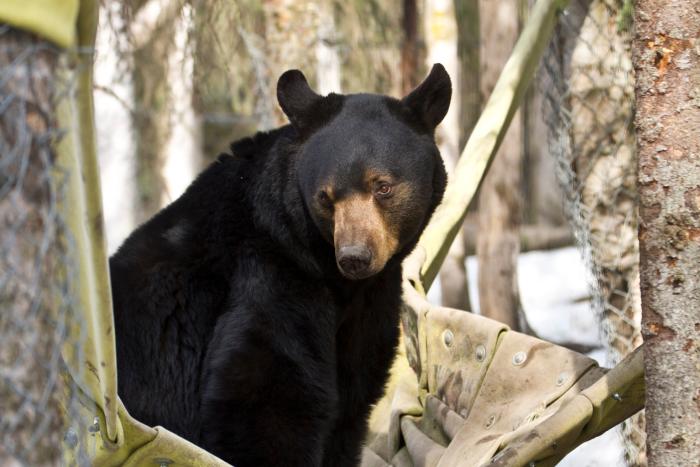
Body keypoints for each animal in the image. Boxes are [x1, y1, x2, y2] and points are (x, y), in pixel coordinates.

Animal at [110, 64, 450, 467]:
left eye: (382, 186)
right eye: (325, 197)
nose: (354, 257)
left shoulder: (371, 304)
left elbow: (352, 398)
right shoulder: (271, 272)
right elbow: (267, 395)